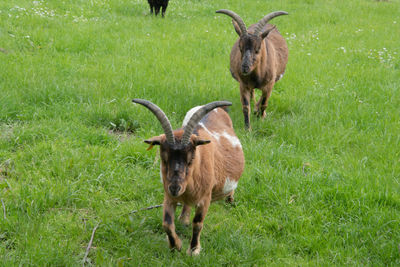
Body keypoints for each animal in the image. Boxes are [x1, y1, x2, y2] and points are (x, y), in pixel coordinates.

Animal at [132, 99, 244, 256]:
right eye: (164, 159)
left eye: (191, 159)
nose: (175, 188)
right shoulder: (168, 196)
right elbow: (167, 223)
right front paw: (176, 246)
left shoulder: (205, 197)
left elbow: (197, 223)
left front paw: (193, 250)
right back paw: (184, 219)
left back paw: (230, 200)